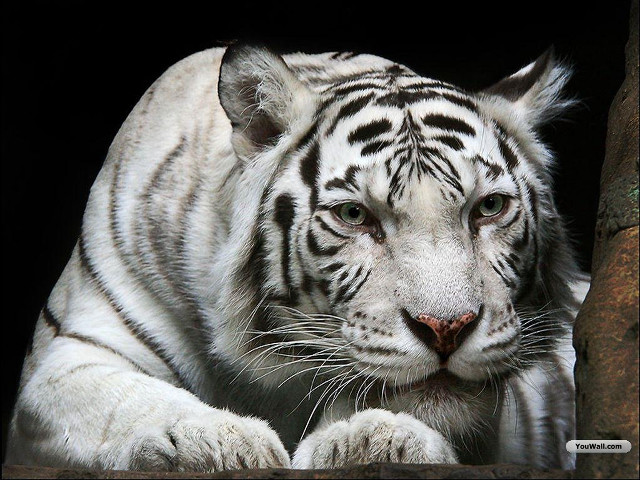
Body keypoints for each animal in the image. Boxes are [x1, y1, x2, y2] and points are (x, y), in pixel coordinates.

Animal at [6, 43, 589, 472]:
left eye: (488, 207)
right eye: (355, 215)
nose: (447, 329)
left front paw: (371, 437)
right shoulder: (71, 353)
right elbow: (125, 400)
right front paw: (214, 441)